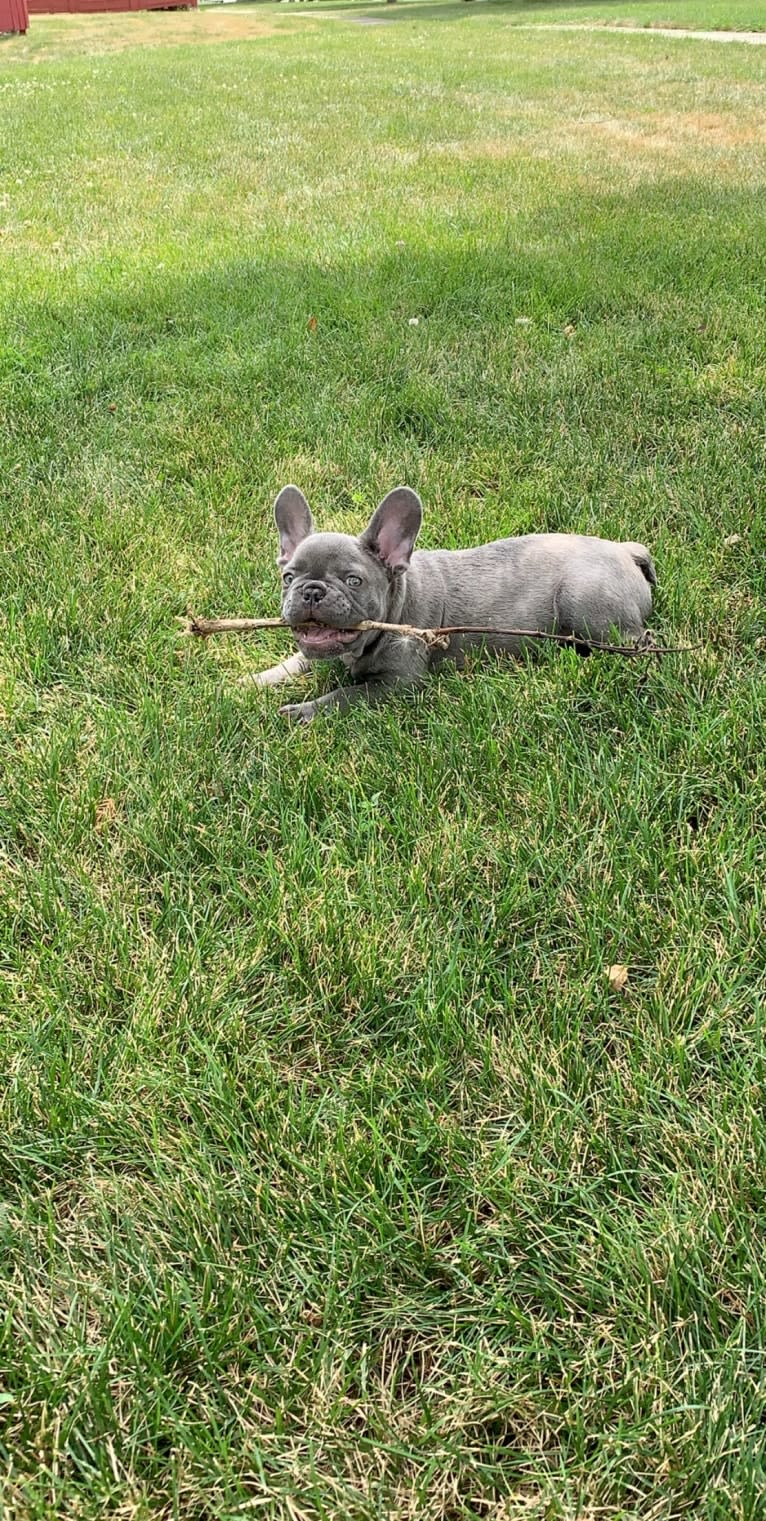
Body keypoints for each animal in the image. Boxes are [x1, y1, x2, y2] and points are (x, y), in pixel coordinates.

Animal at [247, 486, 656, 723]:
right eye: (288, 577)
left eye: (353, 581)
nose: (311, 591)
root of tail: (624, 550)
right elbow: (294, 662)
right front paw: (253, 680)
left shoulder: (398, 683)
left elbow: (345, 696)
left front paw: (303, 711)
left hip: (587, 607)